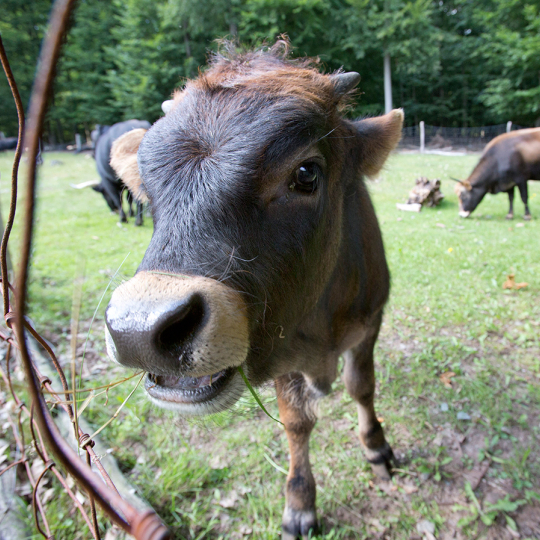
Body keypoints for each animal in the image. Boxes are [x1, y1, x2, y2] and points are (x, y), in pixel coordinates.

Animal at [103, 41, 402, 536]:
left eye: (306, 172)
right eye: (146, 185)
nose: (138, 331)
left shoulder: (370, 321)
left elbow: (362, 386)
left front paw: (377, 448)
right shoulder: (279, 345)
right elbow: (296, 421)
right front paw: (299, 502)